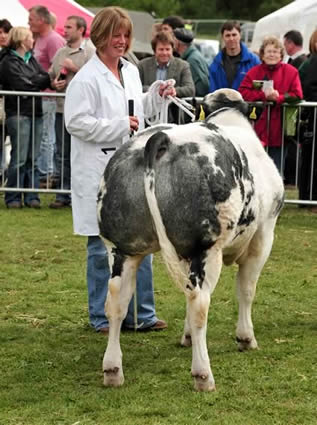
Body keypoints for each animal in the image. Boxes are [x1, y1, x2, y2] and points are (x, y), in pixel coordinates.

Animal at [96, 88, 284, 390]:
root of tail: (162, 139)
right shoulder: (264, 235)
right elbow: (246, 290)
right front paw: (246, 338)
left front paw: (186, 337)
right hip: (204, 248)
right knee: (199, 301)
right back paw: (203, 374)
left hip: (122, 248)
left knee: (116, 301)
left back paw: (113, 369)